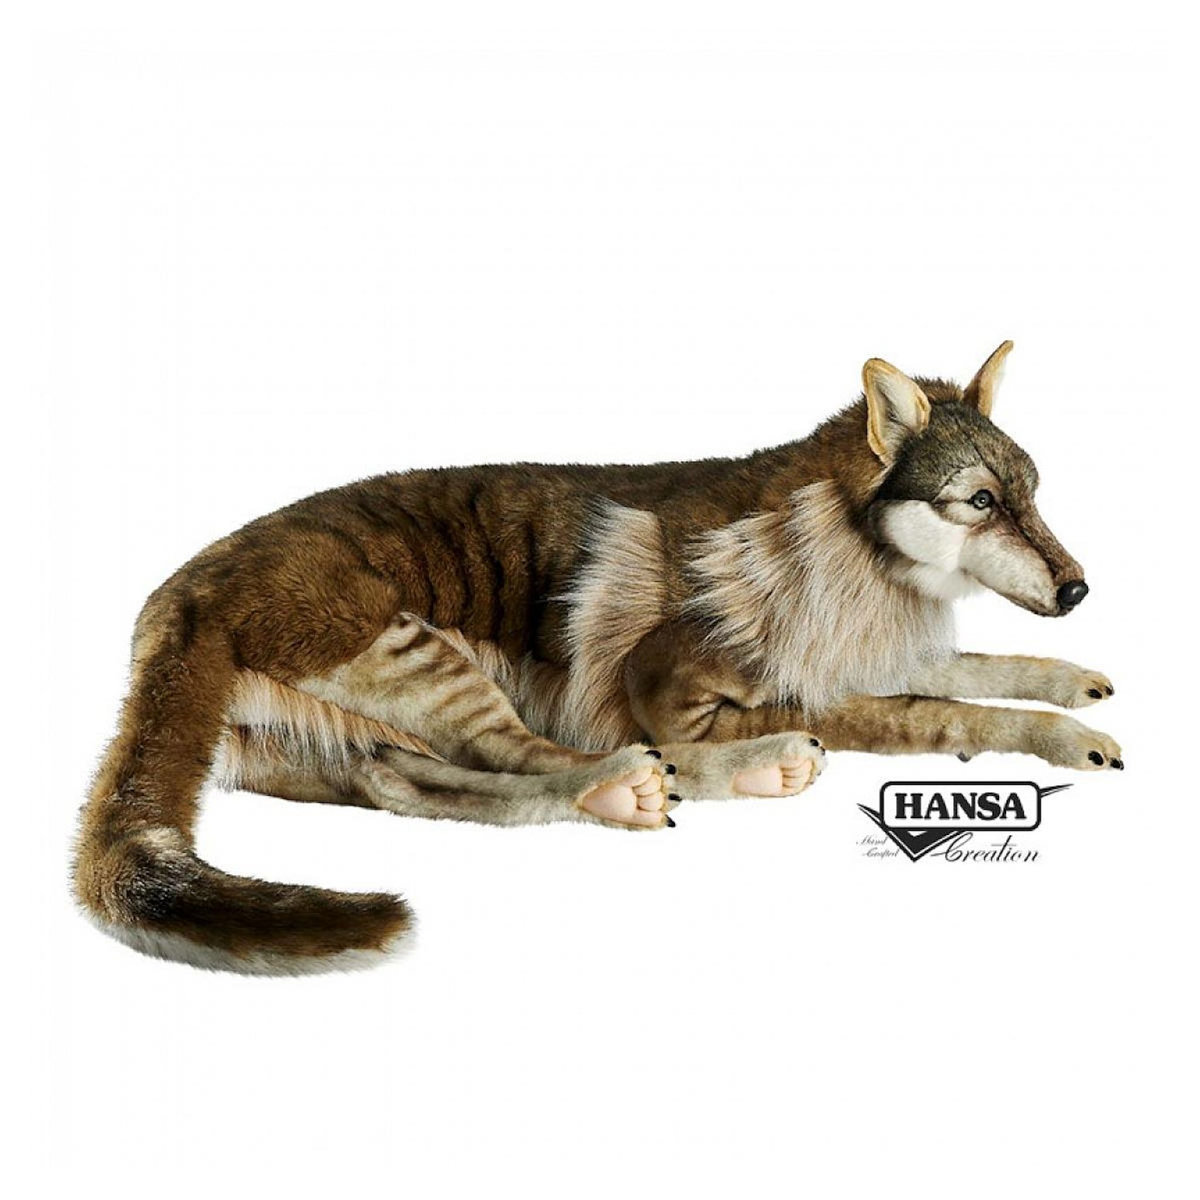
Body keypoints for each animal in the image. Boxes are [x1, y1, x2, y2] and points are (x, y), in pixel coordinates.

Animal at [74, 340, 1121, 973]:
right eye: (980, 502)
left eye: (1032, 494)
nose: (1077, 591)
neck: (841, 546)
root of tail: (173, 601)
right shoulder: (674, 693)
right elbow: (944, 713)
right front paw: (1060, 737)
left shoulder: (873, 660)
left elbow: (979, 670)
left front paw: (1071, 684)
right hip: (427, 655)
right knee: (544, 755)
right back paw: (686, 776)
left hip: (375, 735)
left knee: (431, 789)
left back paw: (623, 797)